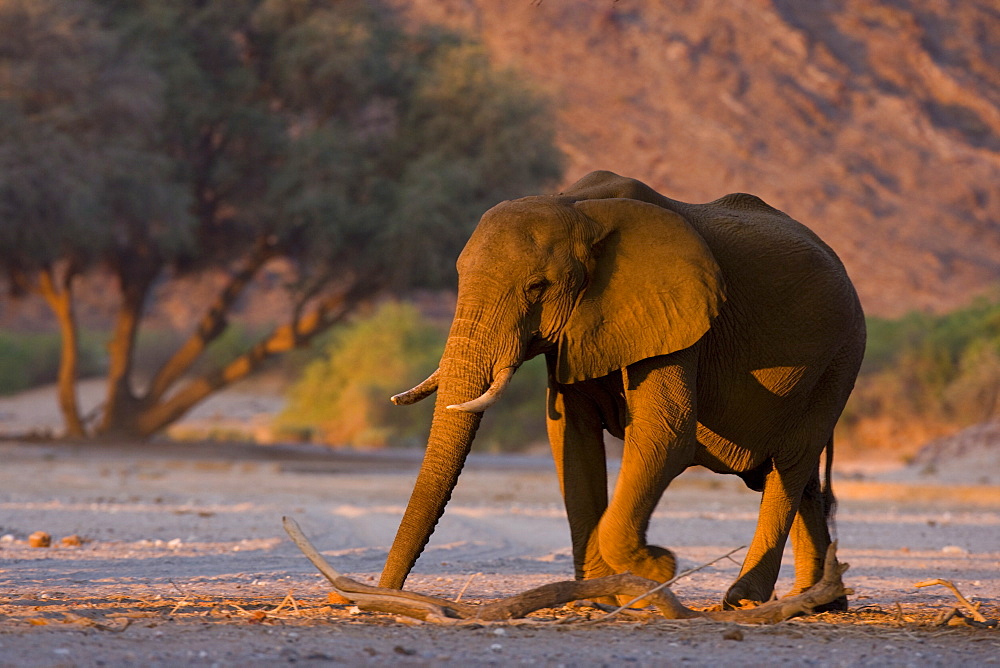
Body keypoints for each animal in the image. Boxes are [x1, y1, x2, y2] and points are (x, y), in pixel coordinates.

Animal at [378, 170, 864, 608]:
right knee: (800, 481)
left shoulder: (676, 316)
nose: (385, 592)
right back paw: (818, 600)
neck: (576, 206)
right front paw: (600, 598)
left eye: (536, 287)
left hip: (840, 360)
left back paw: (745, 601)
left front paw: (658, 568)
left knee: (789, 467)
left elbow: (665, 433)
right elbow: (571, 439)